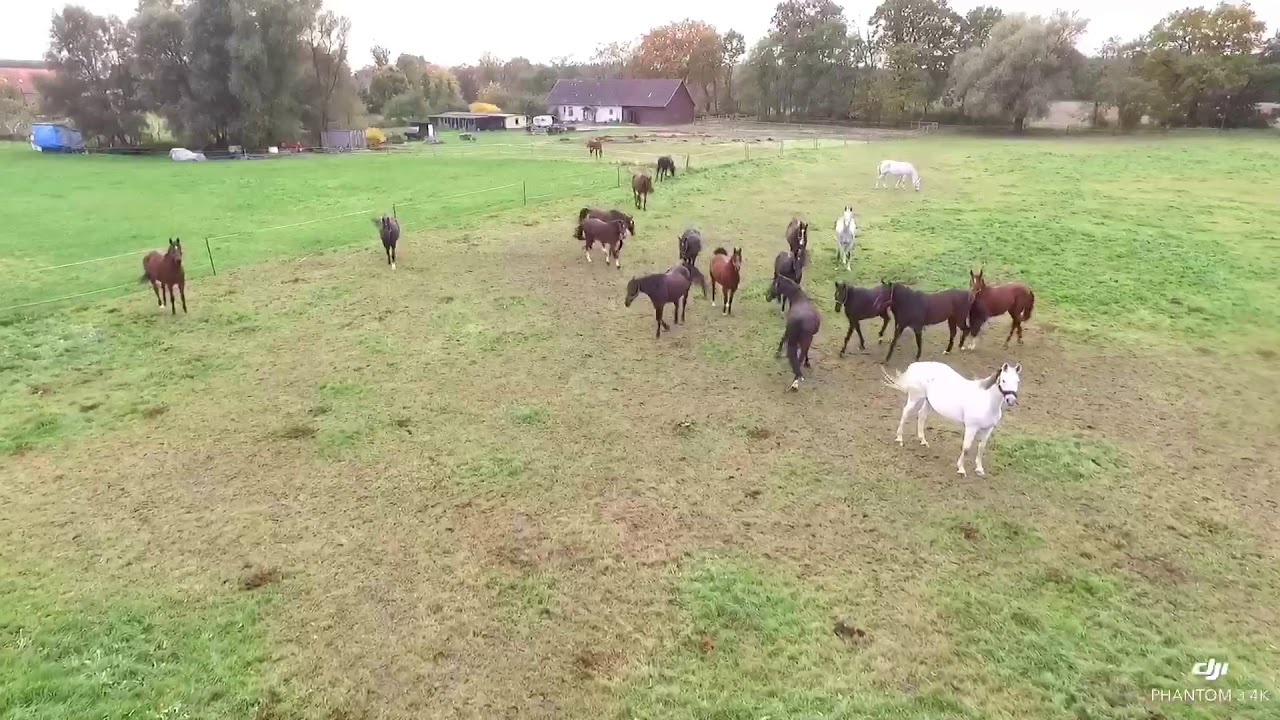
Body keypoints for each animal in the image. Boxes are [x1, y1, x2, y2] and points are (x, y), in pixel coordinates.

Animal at [883, 361, 1021, 477]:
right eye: (1003, 380)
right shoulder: (971, 427)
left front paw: (979, 469)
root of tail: (918, 365)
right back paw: (899, 438)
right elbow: (966, 447)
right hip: (915, 397)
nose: (1011, 400)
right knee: (906, 413)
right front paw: (961, 469)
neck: (987, 402)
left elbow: (981, 448)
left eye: (1018, 381)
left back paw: (923, 440)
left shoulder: (988, 429)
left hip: (928, 402)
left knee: (921, 416)